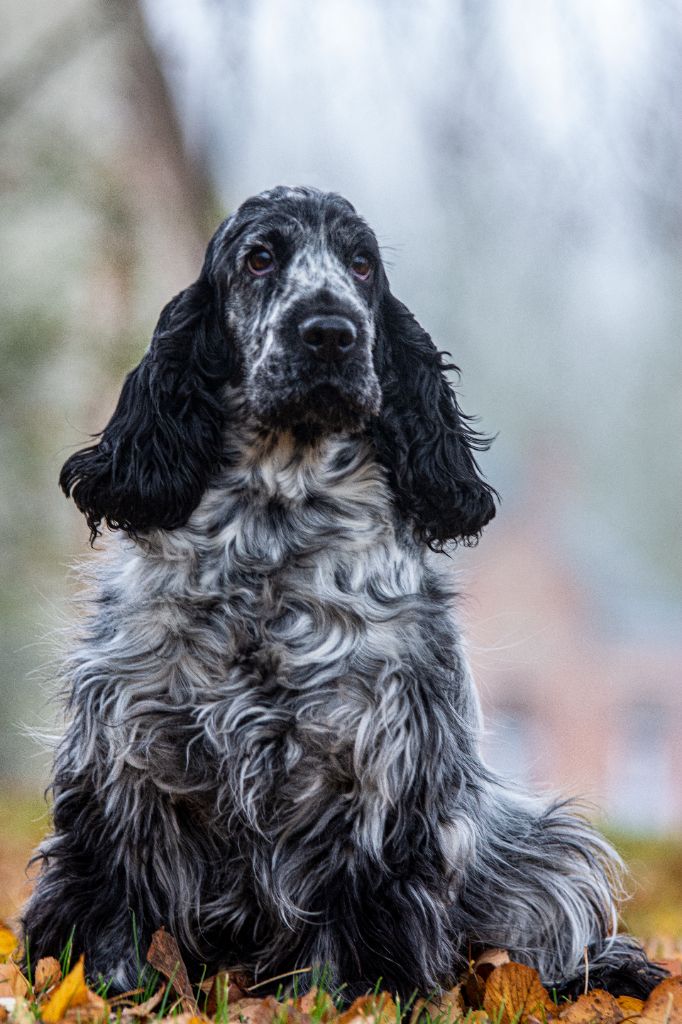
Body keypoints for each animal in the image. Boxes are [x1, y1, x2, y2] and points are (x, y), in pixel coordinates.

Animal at [22, 186, 663, 999]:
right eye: (260, 258)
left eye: (361, 264)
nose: (330, 333)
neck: (274, 530)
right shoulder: (127, 754)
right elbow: (112, 897)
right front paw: (107, 988)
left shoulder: (376, 767)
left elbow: (357, 912)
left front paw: (347, 999)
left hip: (537, 847)